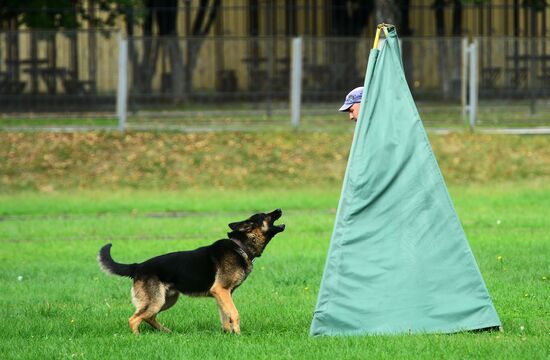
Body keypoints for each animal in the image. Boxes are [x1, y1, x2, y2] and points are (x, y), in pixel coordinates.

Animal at [98, 208, 284, 334]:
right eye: (266, 215)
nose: (279, 209)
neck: (240, 246)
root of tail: (138, 266)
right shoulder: (221, 290)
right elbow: (234, 313)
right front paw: (238, 335)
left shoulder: (223, 294)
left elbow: (225, 316)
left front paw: (228, 334)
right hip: (156, 301)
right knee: (134, 319)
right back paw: (137, 338)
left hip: (167, 300)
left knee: (148, 317)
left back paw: (165, 332)